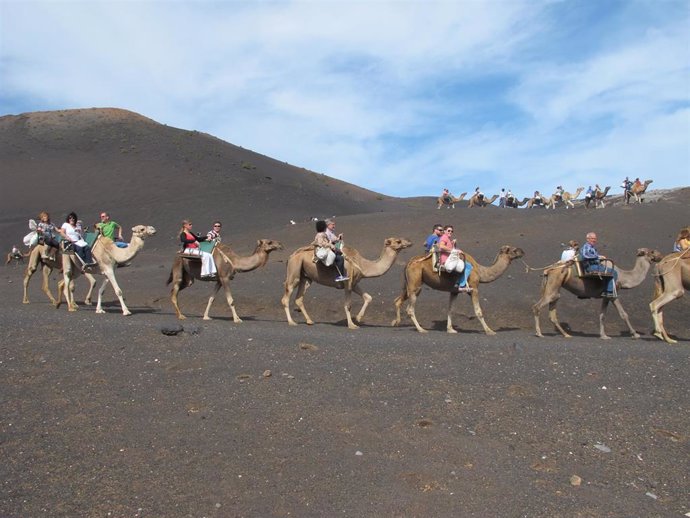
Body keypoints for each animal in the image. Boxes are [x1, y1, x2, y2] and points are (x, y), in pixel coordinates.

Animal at [282, 239, 412, 330]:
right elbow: (348, 305)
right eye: (398, 241)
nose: (410, 242)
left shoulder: (354, 283)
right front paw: (352, 325)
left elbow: (368, 297)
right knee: (286, 296)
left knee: (299, 298)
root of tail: (291, 256)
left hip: (306, 277)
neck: (363, 264)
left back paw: (309, 321)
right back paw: (291, 322)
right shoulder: (347, 283)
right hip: (294, 271)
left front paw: (358, 318)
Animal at [390, 246, 524, 336]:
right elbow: (478, 311)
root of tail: (408, 263)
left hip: (410, 283)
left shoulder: (454, 291)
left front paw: (450, 329)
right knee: (410, 308)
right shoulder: (474, 288)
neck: (481, 272)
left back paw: (395, 322)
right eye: (514, 250)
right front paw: (489, 331)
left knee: (398, 300)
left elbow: (450, 309)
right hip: (415, 282)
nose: (522, 251)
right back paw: (421, 329)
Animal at [532, 249, 660, 342]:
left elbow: (602, 315)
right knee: (538, 306)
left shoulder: (605, 296)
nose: (660, 256)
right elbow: (623, 314)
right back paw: (539, 333)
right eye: (652, 251)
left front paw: (603, 335)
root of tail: (548, 270)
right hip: (554, 284)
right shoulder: (613, 294)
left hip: (555, 286)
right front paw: (635, 334)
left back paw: (566, 334)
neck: (623, 277)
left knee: (552, 310)